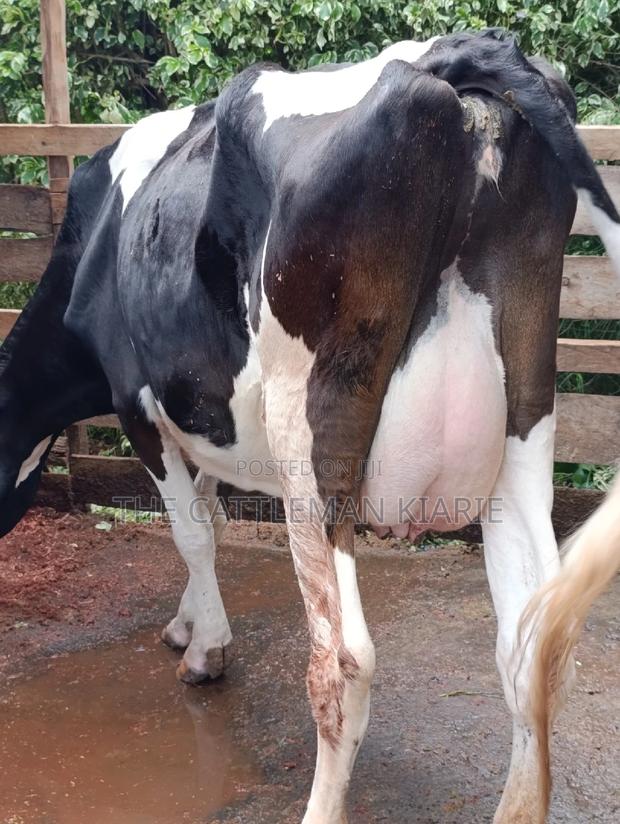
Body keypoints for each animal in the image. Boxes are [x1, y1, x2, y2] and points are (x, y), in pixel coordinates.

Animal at [1, 28, 619, 823]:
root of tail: (457, 54)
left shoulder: (140, 403)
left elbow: (193, 532)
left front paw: (206, 649)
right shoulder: (202, 414)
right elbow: (210, 515)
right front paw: (187, 623)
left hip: (313, 431)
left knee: (342, 660)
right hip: (525, 418)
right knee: (531, 642)